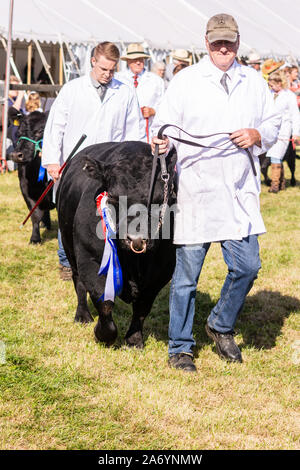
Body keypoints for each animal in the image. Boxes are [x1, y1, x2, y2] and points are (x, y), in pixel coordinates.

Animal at [57, 141, 177, 346]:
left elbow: (142, 308)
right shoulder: (91, 259)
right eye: (113, 196)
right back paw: (83, 316)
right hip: (69, 245)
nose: (136, 239)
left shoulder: (161, 272)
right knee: (78, 281)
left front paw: (134, 340)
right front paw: (103, 335)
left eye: (159, 199)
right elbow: (104, 302)